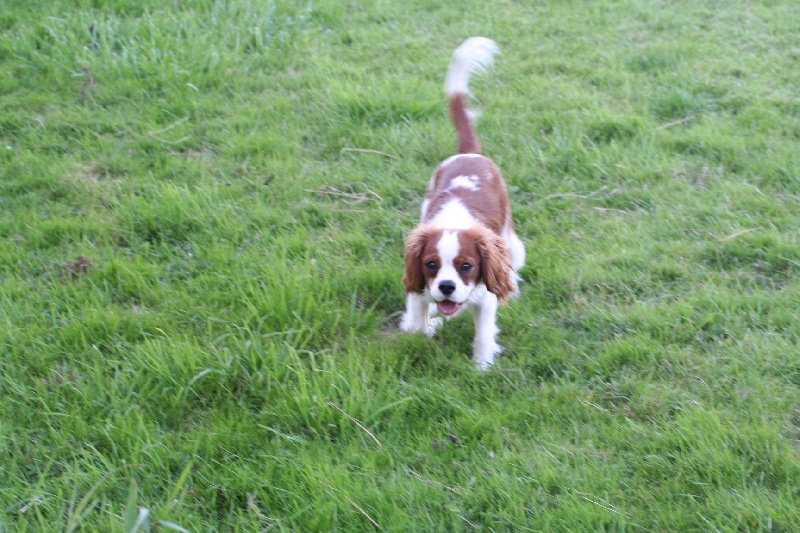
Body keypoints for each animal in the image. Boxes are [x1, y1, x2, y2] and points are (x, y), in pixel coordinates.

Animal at [400, 38, 524, 370]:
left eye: (466, 266)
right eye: (430, 265)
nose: (446, 287)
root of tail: (470, 152)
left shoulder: (487, 295)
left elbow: (483, 331)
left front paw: (481, 368)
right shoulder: (418, 286)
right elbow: (418, 319)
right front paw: (425, 328)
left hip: (507, 234)